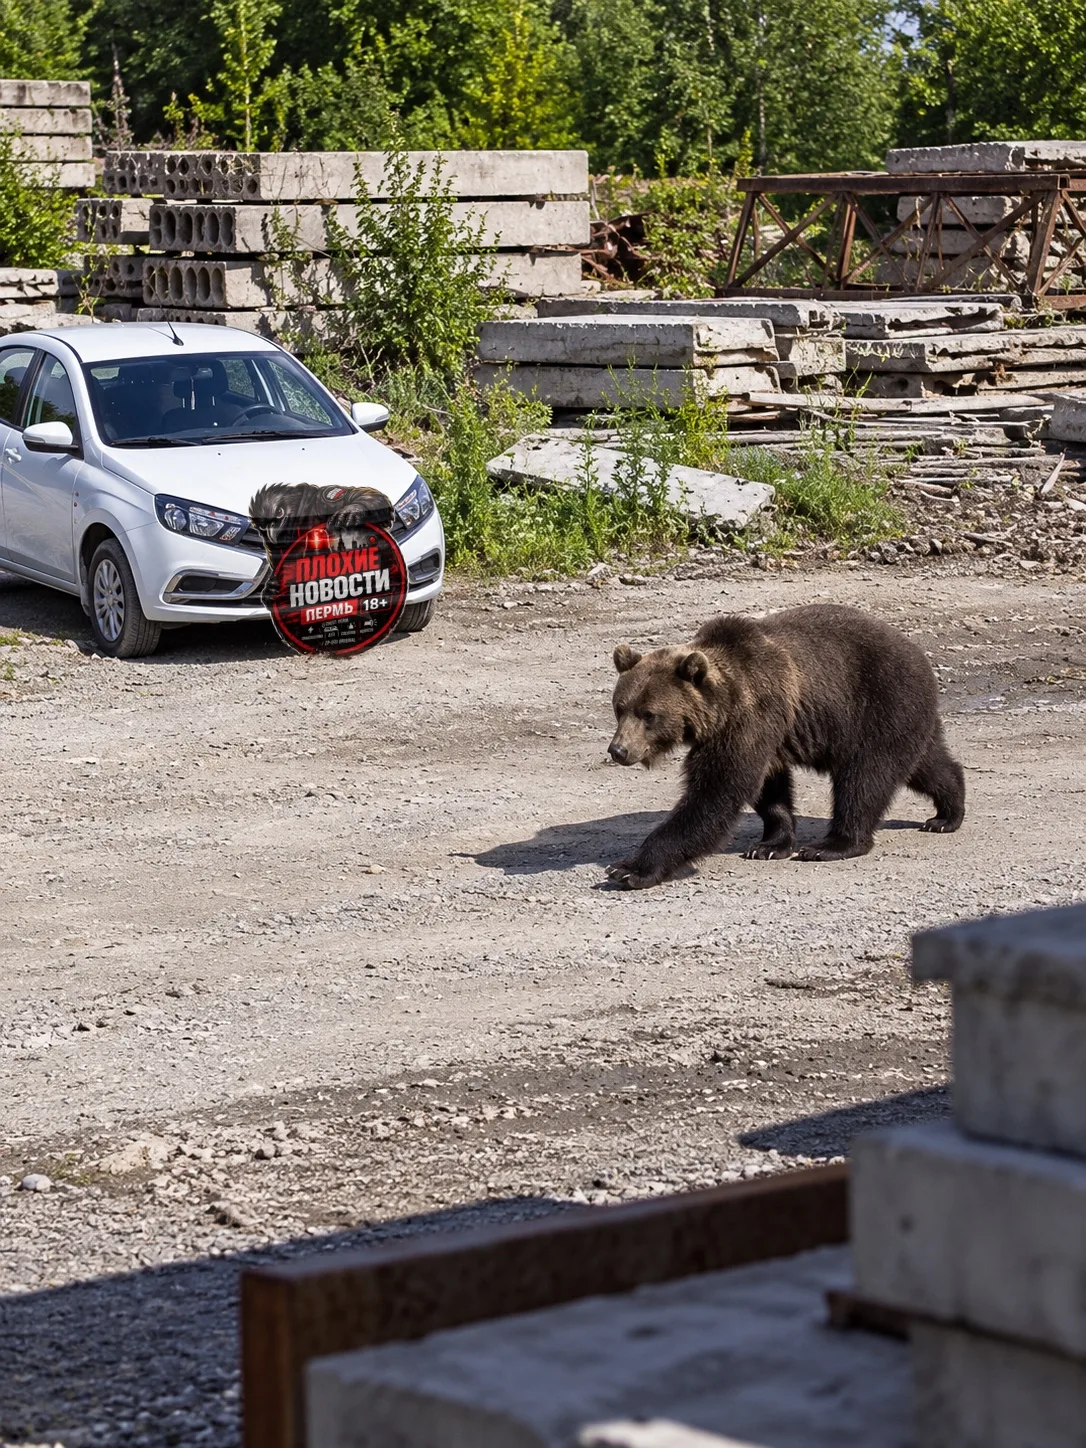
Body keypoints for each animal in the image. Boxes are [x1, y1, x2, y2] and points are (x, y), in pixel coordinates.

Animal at [605, 603, 965, 889]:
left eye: (648, 714)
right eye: (620, 707)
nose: (618, 750)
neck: (722, 706)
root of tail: (919, 654)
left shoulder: (751, 718)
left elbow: (715, 794)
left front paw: (629, 869)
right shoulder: (764, 734)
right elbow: (768, 790)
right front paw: (770, 845)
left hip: (879, 705)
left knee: (865, 778)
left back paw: (832, 845)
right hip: (906, 716)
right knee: (927, 764)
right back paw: (946, 814)